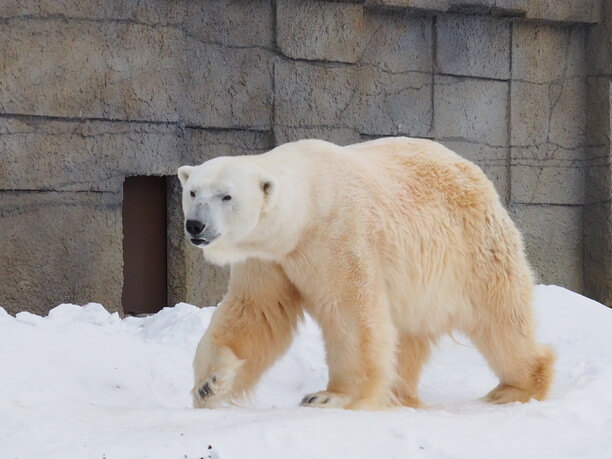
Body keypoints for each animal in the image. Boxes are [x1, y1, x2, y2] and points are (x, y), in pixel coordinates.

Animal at [177, 137, 556, 410]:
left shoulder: (338, 234)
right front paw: (210, 385)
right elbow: (255, 312)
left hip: (472, 248)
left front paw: (330, 396)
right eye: (192, 191)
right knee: (409, 335)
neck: (309, 201)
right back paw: (399, 394)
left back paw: (516, 387)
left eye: (226, 196)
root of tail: (476, 173)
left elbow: (350, 311)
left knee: (500, 317)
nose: (195, 225)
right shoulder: (268, 258)